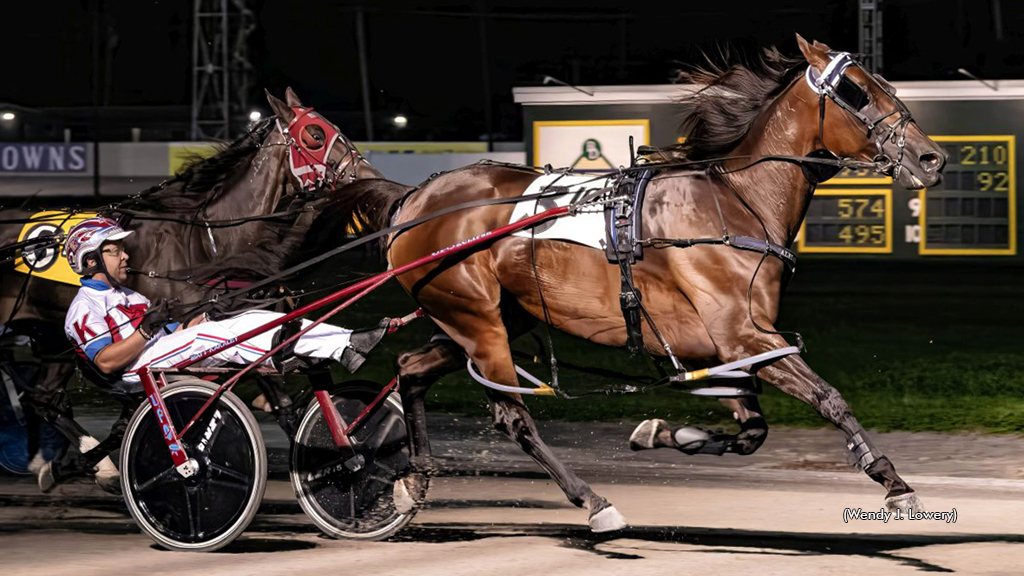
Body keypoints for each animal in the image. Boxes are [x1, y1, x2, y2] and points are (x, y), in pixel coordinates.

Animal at [0, 87, 397, 485]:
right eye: (314, 135)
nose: (372, 177)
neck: (205, 242)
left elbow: (278, 395)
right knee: (46, 399)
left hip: (52, 338)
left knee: (45, 398)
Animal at [331, 36, 946, 528]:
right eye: (858, 91)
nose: (931, 158)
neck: (730, 203)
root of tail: (414, 198)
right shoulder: (743, 336)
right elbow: (828, 397)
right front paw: (892, 482)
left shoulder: (722, 348)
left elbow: (752, 432)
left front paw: (663, 433)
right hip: (476, 321)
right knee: (512, 415)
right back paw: (593, 502)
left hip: (492, 317)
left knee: (411, 369)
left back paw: (414, 480)